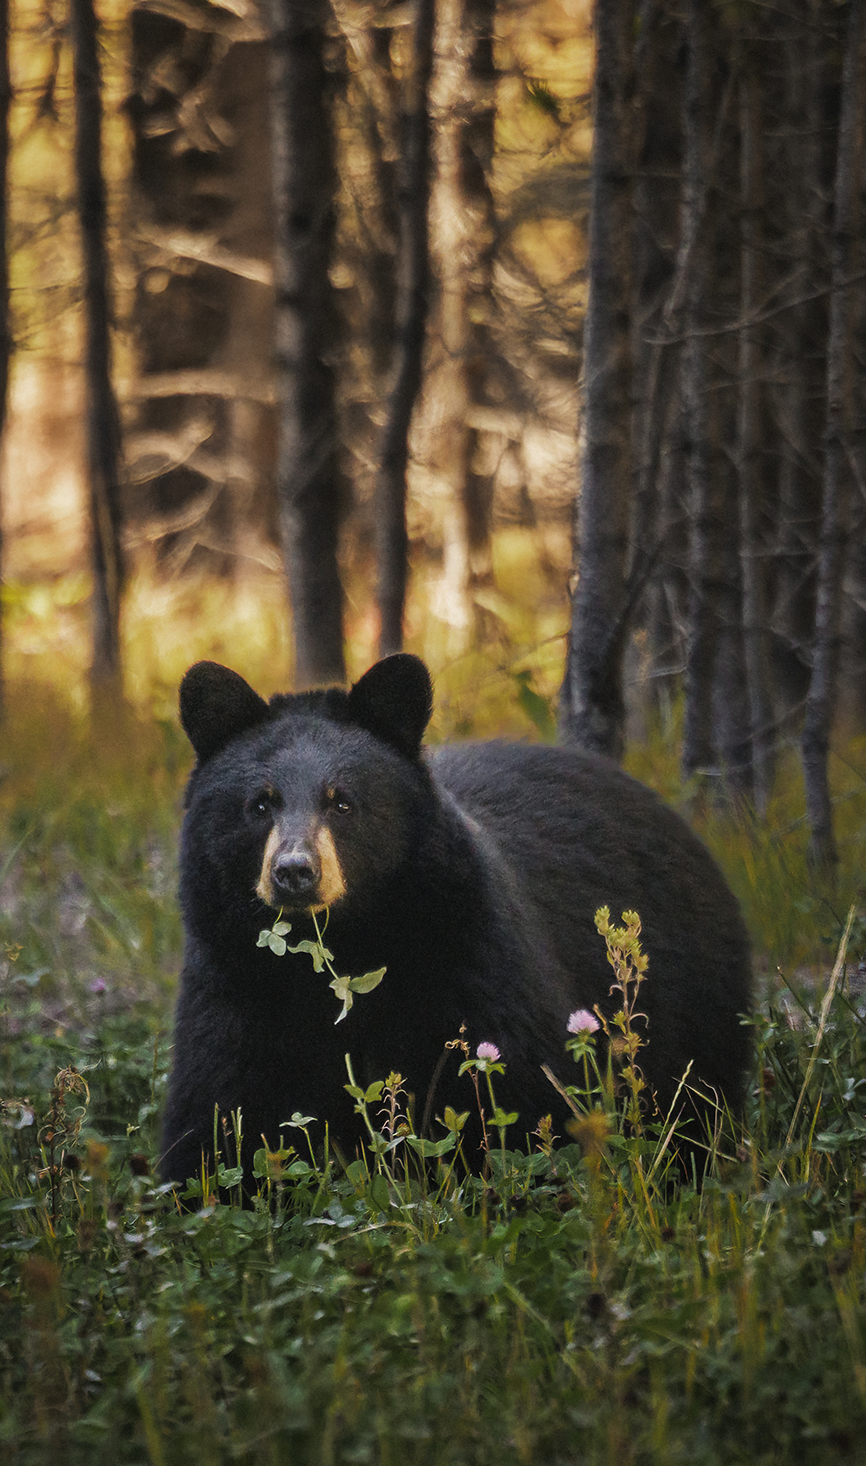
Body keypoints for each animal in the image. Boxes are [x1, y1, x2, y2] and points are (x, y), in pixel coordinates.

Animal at [160, 652, 752, 1191]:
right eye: (260, 804)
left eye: (342, 803)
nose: (295, 872)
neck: (340, 953)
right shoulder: (233, 985)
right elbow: (216, 1118)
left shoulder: (466, 954)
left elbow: (518, 1092)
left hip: (694, 997)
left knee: (695, 1100)